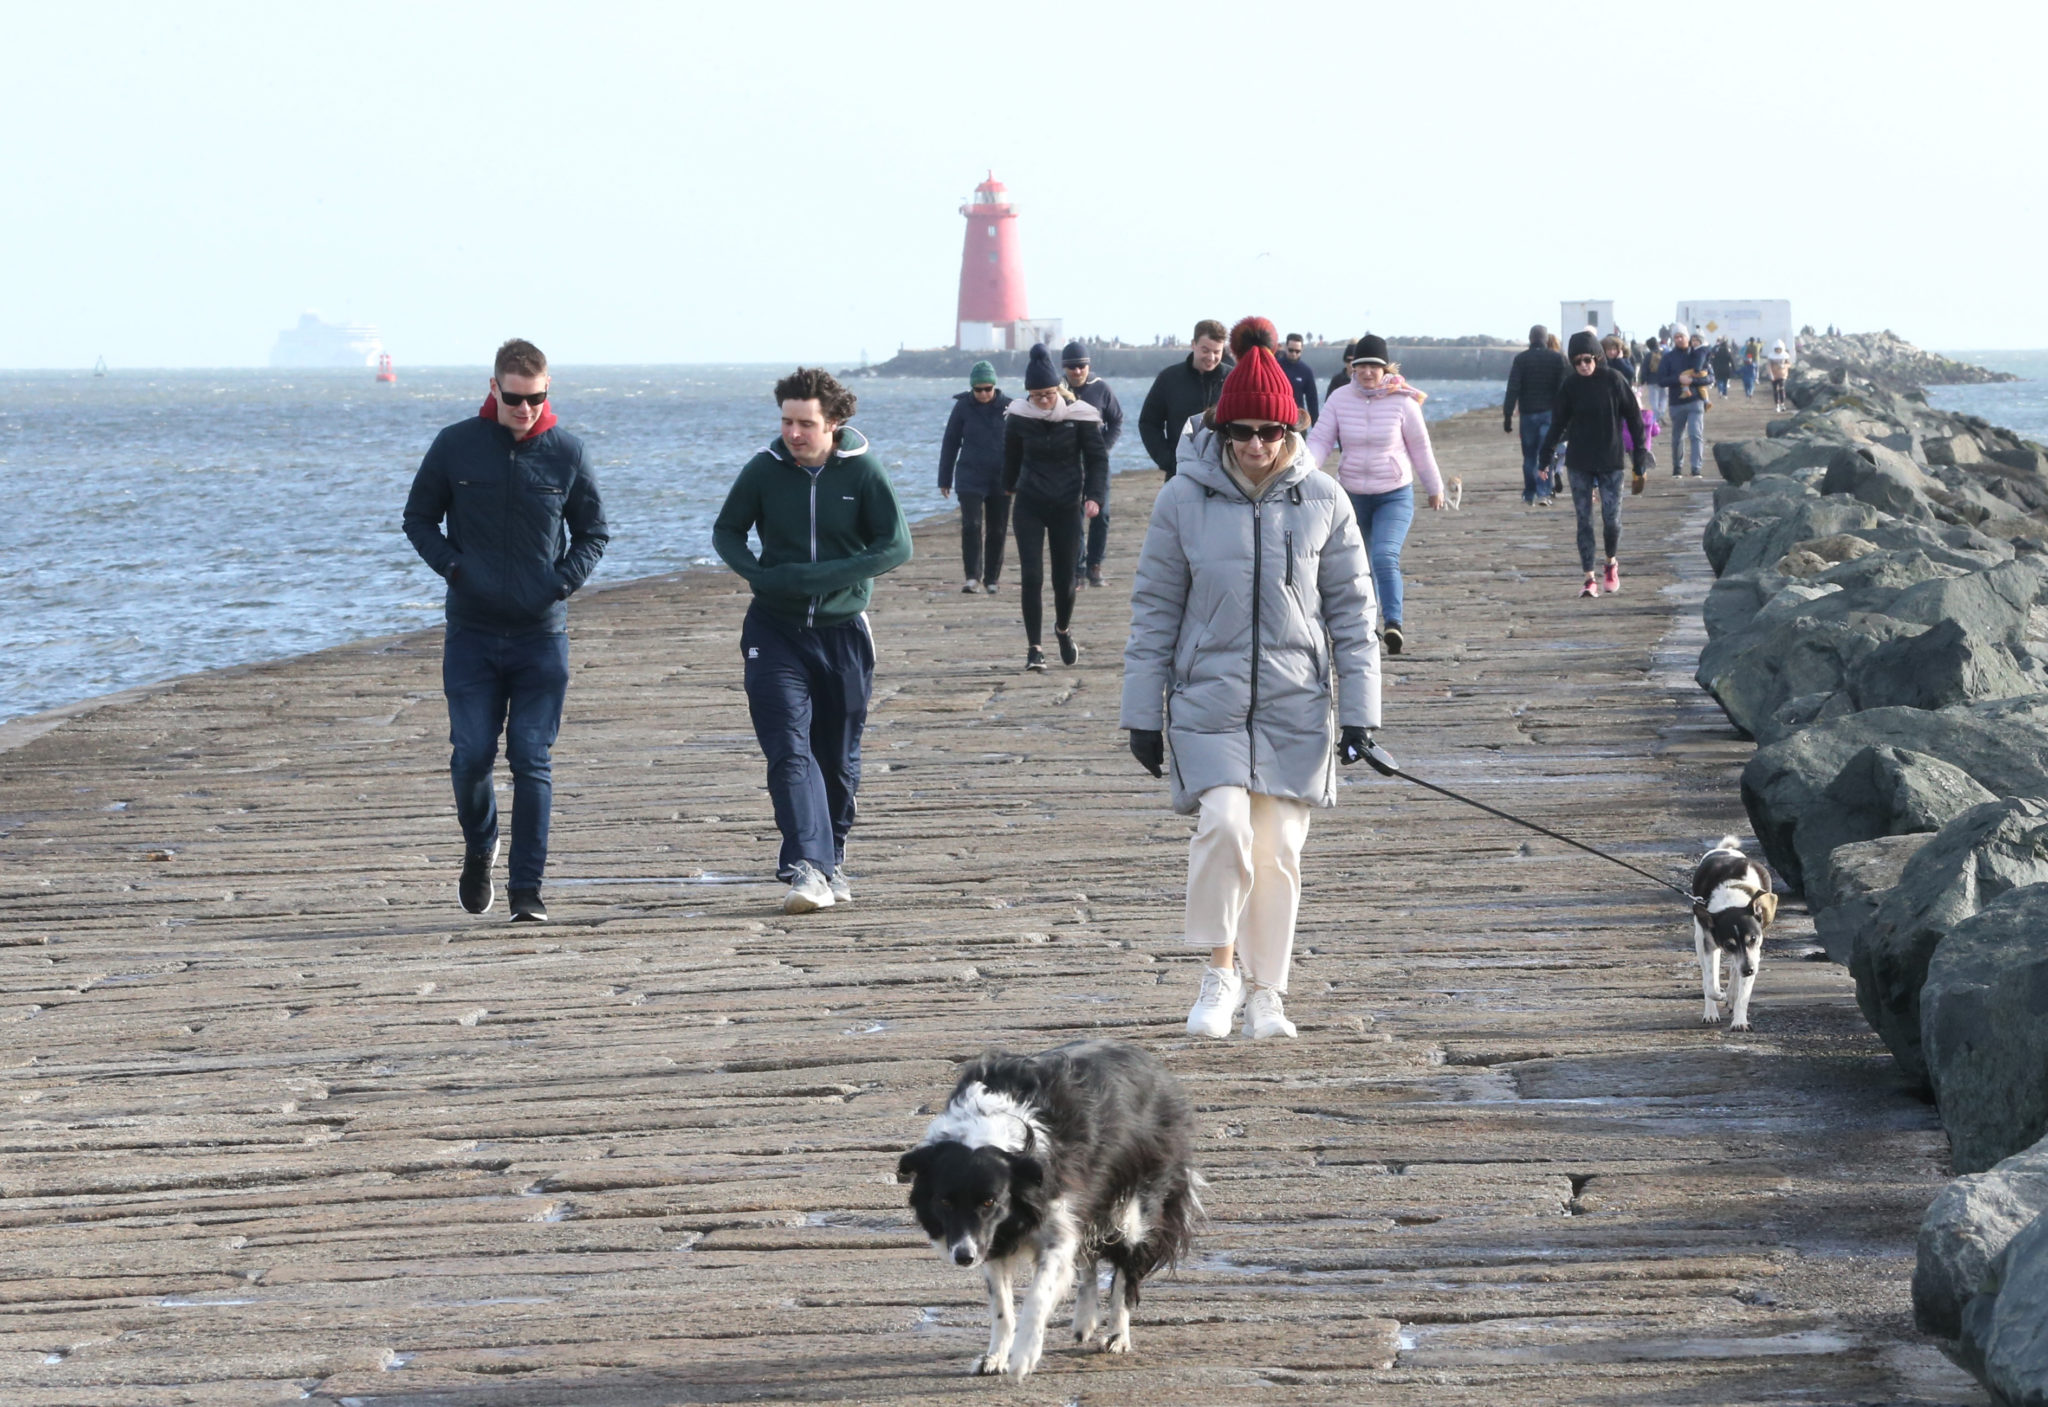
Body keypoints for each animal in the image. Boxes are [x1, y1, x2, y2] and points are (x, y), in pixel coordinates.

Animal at [897, 1040, 1196, 1384]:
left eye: (989, 1202)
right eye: (945, 1202)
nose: (964, 1257)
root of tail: (1153, 1063)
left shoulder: (1049, 1225)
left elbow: (1039, 1293)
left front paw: (1023, 1357)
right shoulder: (993, 1238)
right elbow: (1001, 1304)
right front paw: (994, 1358)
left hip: (1135, 1199)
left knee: (1125, 1268)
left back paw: (1117, 1336)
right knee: (1089, 1258)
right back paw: (1084, 1323)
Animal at [1695, 835, 1777, 1036]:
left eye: (1753, 939)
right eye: (1729, 944)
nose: (1749, 970)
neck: (1732, 896)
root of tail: (1726, 849)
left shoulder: (1753, 953)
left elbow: (1743, 994)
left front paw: (1740, 1021)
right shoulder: (1710, 944)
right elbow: (1710, 984)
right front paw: (1719, 995)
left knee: (1734, 968)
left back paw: (1731, 995)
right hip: (1700, 938)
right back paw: (1712, 1011)